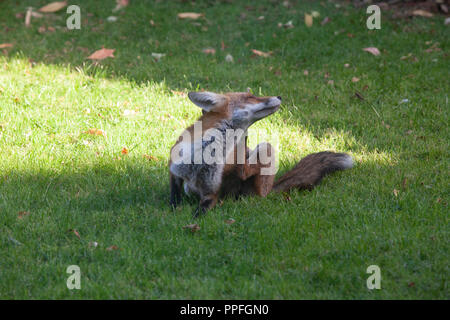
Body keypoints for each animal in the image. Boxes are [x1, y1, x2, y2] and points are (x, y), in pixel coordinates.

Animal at [167, 92, 354, 218]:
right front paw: (173, 211)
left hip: (265, 151)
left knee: (249, 177)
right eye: (251, 96)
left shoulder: (211, 192)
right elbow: (174, 196)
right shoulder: (174, 169)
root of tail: (270, 188)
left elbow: (201, 212)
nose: (279, 96)